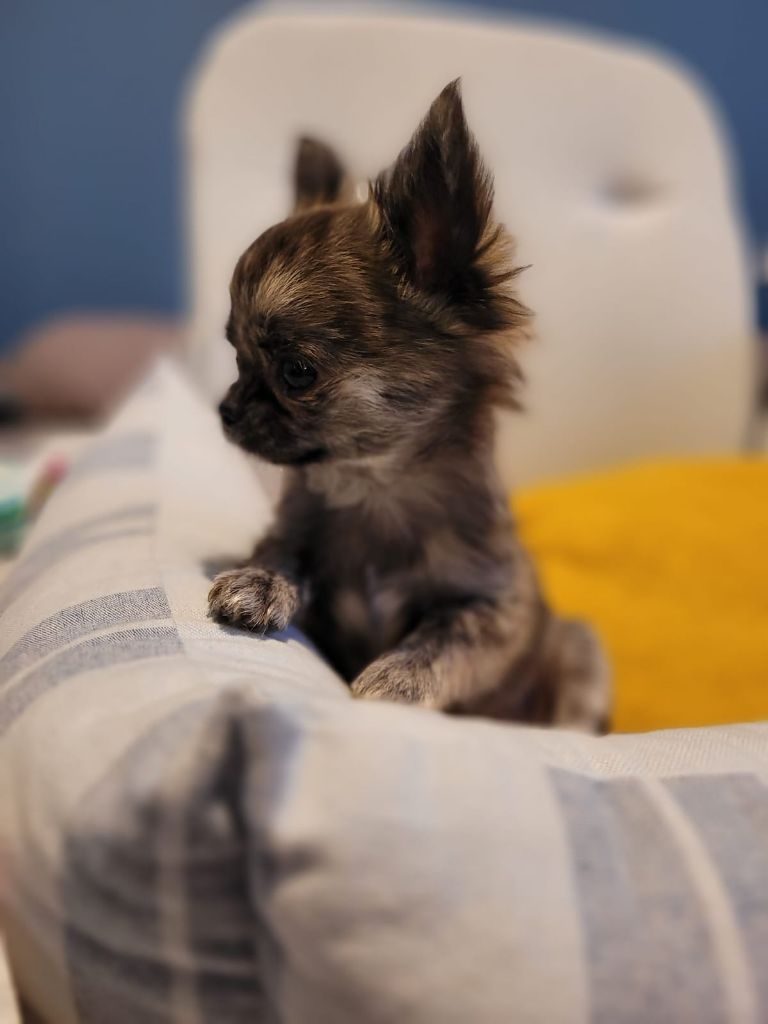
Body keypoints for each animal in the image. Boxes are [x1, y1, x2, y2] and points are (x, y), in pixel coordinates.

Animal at [208, 80, 610, 729]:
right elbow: (286, 552)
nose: (225, 410)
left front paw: (397, 680)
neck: (375, 487)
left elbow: (447, 637)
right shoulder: (307, 556)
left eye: (296, 373)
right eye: (236, 356)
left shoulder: (495, 608)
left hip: (581, 646)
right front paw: (259, 582)